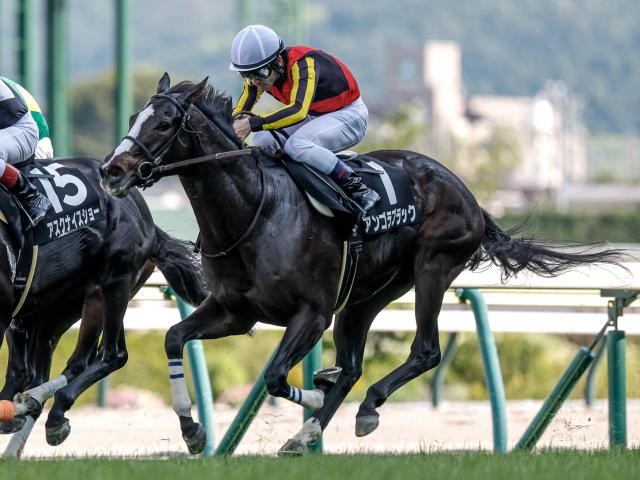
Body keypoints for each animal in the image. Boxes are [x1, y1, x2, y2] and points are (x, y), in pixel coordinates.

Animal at [100, 73, 624, 456]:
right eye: (134, 115)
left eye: (165, 122)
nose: (111, 170)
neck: (253, 212)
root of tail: (469, 195)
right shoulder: (234, 311)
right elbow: (173, 338)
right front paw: (192, 431)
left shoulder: (311, 313)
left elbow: (275, 377)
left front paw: (313, 393)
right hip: (366, 297)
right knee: (353, 365)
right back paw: (308, 431)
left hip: (432, 269)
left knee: (425, 351)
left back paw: (357, 411)